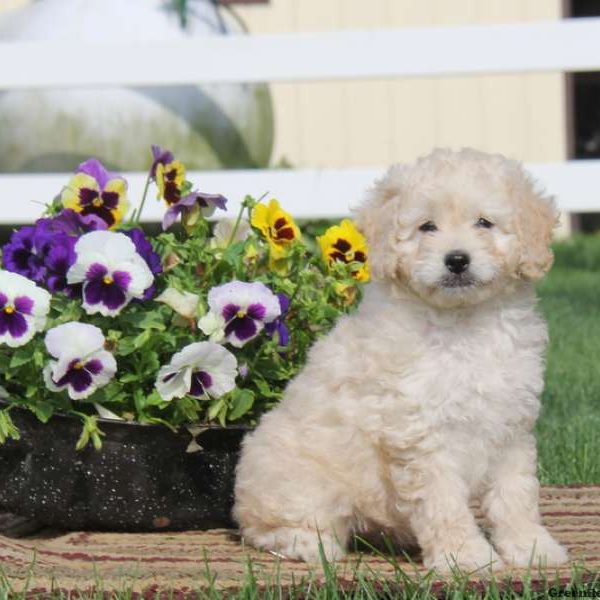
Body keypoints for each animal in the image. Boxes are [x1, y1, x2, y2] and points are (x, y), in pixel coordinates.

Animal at [232, 149, 568, 572]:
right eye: (427, 227)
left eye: (484, 223)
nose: (457, 260)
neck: (463, 323)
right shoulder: (420, 432)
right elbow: (444, 502)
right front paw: (466, 556)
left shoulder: (511, 425)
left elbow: (516, 495)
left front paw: (532, 547)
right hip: (300, 482)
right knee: (270, 526)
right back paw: (308, 543)